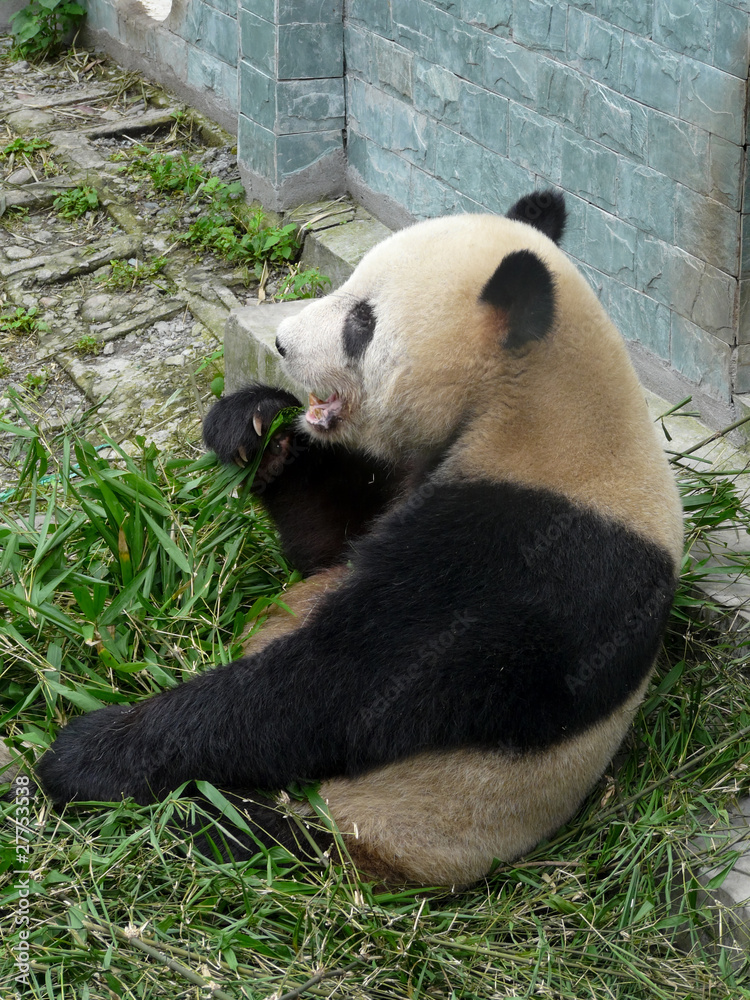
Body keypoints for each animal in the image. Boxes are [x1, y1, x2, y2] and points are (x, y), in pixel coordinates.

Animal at [37, 191, 683, 887]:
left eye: (361, 323)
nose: (281, 342)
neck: (539, 411)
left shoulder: (530, 551)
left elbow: (345, 689)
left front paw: (89, 753)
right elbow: (331, 545)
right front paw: (257, 424)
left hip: (382, 820)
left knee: (235, 830)